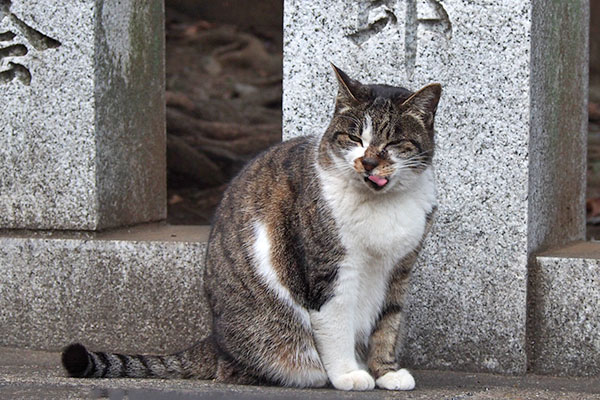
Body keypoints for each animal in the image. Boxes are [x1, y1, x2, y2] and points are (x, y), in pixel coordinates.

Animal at [62, 65, 440, 390]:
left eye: (393, 143)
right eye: (353, 138)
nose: (369, 162)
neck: (381, 204)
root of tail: (215, 341)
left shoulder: (399, 270)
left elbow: (388, 324)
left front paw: (385, 373)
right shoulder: (328, 271)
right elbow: (337, 324)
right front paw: (349, 374)